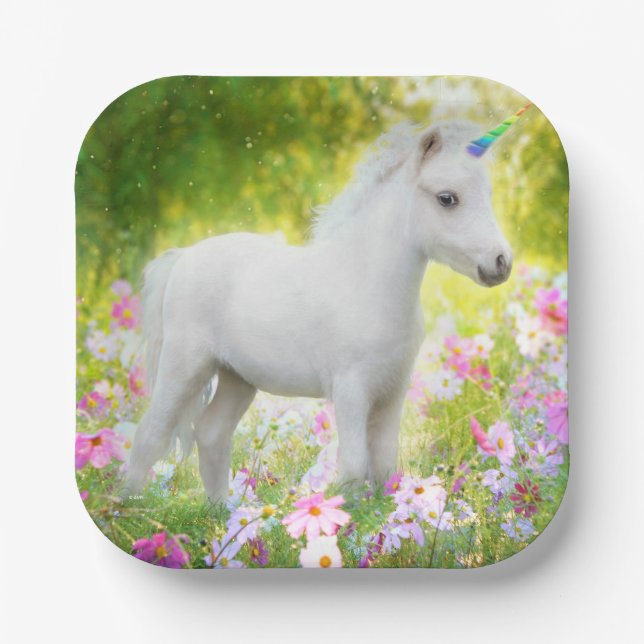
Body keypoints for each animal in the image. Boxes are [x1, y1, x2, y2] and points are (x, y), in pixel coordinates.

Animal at [124, 118, 514, 502]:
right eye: (447, 198)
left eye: (488, 196)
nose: (501, 262)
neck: (367, 284)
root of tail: (181, 258)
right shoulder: (351, 389)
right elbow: (354, 467)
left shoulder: (392, 391)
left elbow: (386, 466)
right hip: (185, 367)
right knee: (150, 435)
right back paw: (128, 506)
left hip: (237, 378)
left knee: (211, 433)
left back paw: (222, 514)